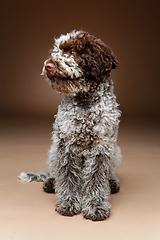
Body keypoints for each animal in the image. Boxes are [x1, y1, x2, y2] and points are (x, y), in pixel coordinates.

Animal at [18, 30, 121, 221]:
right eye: (56, 51)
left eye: (72, 52)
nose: (48, 65)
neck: (85, 102)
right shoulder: (65, 145)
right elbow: (67, 176)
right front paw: (69, 203)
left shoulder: (101, 146)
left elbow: (96, 178)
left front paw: (95, 206)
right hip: (53, 150)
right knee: (56, 173)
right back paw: (51, 182)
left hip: (115, 151)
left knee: (106, 175)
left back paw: (112, 183)